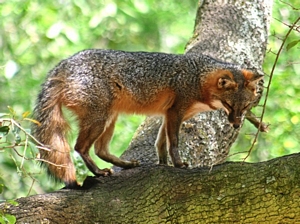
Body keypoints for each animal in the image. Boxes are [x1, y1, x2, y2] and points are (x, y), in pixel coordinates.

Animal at [32, 50, 262, 188]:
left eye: (245, 107)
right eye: (230, 106)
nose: (236, 124)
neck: (197, 77)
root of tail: (65, 63)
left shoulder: (170, 114)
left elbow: (160, 141)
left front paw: (163, 163)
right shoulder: (176, 112)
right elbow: (173, 142)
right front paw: (178, 164)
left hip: (110, 119)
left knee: (100, 149)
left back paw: (125, 165)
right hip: (100, 119)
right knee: (80, 147)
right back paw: (98, 172)